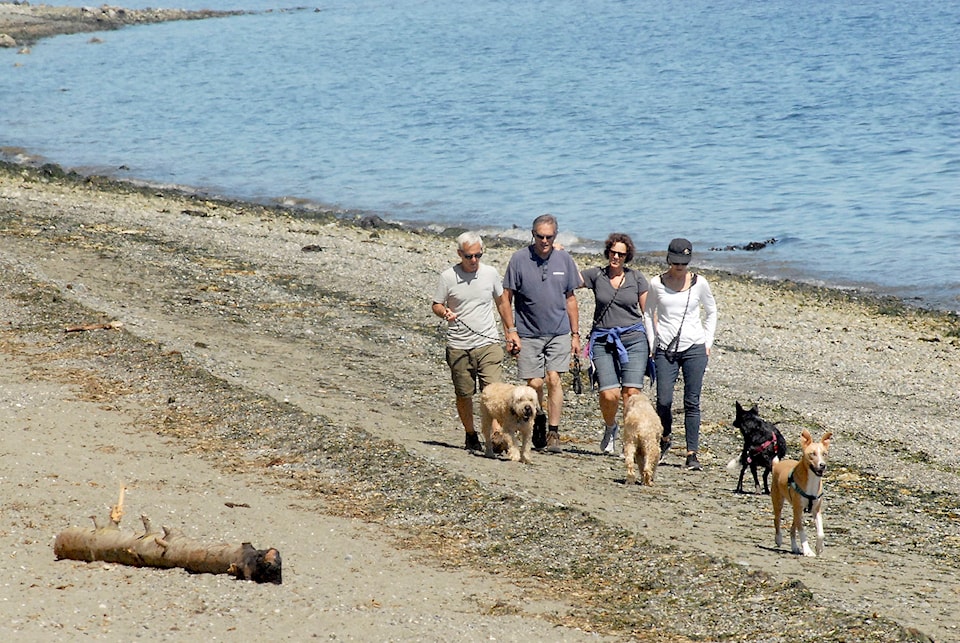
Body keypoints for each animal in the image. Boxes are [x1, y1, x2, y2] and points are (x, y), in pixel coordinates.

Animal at [772, 432, 832, 560]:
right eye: (812, 454)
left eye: (824, 454)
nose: (822, 465)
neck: (812, 480)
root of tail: (778, 464)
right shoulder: (799, 509)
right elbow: (802, 532)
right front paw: (808, 551)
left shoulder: (816, 509)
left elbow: (821, 533)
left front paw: (819, 548)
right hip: (779, 501)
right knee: (777, 519)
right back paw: (778, 539)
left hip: (796, 509)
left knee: (792, 528)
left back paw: (794, 547)